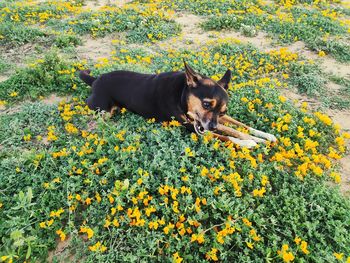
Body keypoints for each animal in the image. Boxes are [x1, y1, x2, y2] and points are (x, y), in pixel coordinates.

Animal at [78, 62, 276, 148]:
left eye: (222, 111)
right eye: (206, 104)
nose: (212, 126)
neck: (182, 94)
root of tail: (95, 80)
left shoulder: (208, 123)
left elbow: (239, 126)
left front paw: (263, 136)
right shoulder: (194, 128)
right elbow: (226, 136)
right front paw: (248, 142)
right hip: (103, 110)